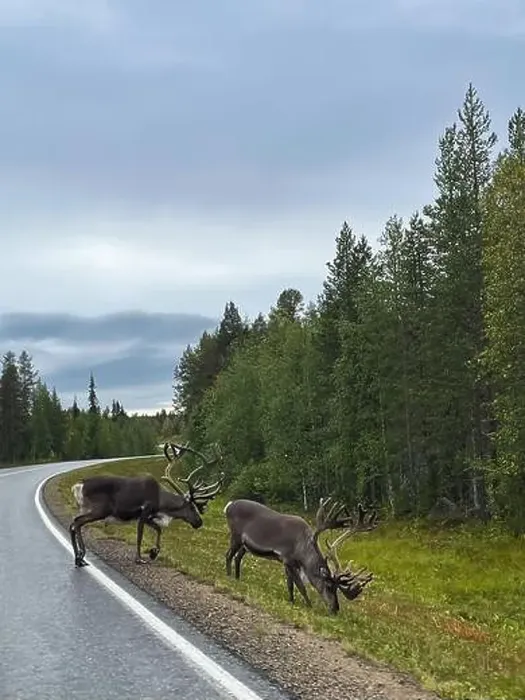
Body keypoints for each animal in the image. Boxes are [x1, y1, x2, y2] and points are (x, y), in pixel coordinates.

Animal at [69, 442, 224, 568]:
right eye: (192, 507)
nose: (199, 522)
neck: (162, 503)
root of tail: (78, 486)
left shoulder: (149, 516)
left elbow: (159, 530)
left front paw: (153, 552)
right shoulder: (144, 512)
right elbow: (140, 536)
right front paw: (139, 558)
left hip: (86, 508)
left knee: (74, 523)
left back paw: (79, 558)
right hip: (100, 510)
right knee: (76, 522)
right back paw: (80, 556)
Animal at [224, 496, 378, 614]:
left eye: (337, 589)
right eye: (329, 585)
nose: (335, 609)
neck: (303, 550)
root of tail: (229, 505)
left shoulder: (289, 563)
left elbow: (290, 584)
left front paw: (291, 601)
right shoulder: (288, 559)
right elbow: (300, 586)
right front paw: (309, 606)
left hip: (245, 545)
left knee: (237, 557)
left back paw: (237, 578)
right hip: (236, 536)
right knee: (228, 555)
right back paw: (229, 576)